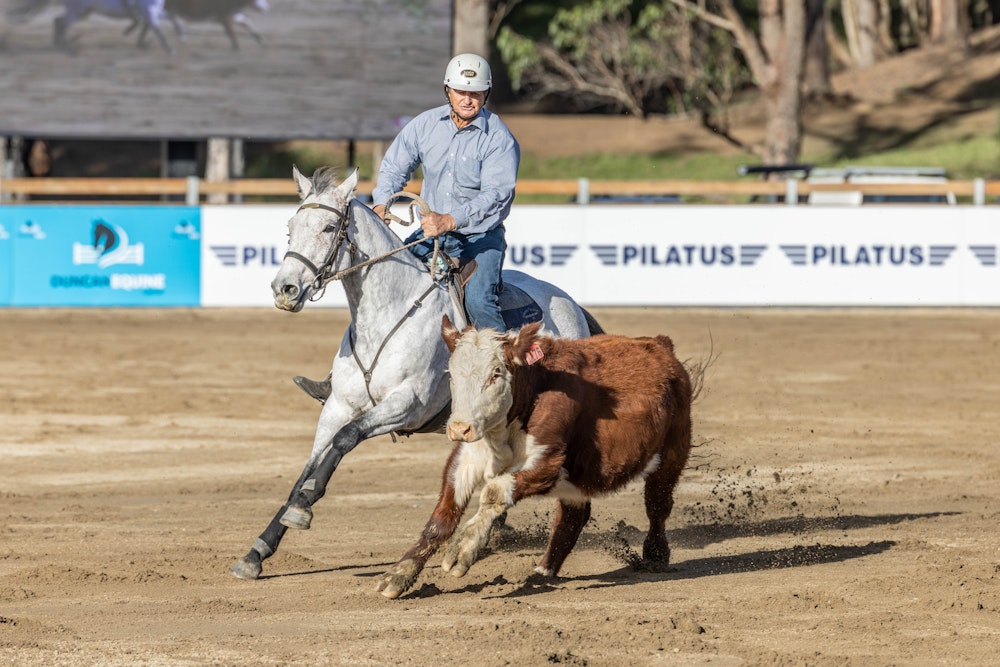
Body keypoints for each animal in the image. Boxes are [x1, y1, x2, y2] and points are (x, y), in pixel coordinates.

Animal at [230, 167, 596, 580]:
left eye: (328, 227)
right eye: (290, 227)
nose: (285, 289)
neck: (388, 315)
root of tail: (572, 306)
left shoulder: (407, 406)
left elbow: (344, 440)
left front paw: (302, 508)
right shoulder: (338, 406)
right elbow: (308, 467)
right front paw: (259, 550)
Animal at [372, 314, 692, 600]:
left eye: (495, 374)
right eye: (451, 374)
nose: (459, 428)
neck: (534, 389)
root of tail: (660, 345)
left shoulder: (547, 462)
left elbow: (493, 491)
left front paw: (463, 549)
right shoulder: (469, 456)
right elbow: (442, 517)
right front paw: (398, 574)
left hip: (672, 453)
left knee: (658, 504)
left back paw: (655, 555)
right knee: (572, 517)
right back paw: (544, 570)